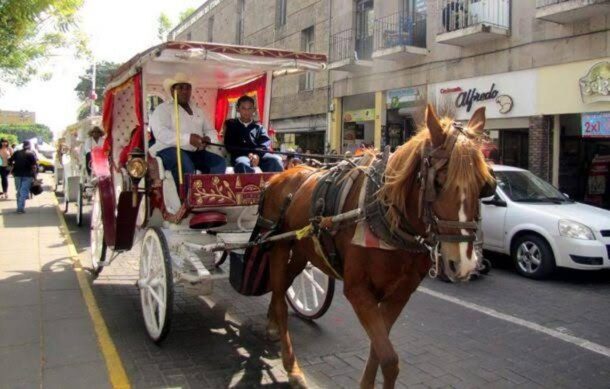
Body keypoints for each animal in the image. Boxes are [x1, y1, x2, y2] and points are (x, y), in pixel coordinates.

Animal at [260, 104, 494, 386]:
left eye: (484, 185)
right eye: (438, 182)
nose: (464, 264)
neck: (385, 218)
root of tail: (280, 176)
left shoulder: (399, 295)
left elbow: (379, 351)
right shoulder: (359, 292)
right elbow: (390, 360)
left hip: (301, 252)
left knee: (281, 288)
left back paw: (271, 324)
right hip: (279, 246)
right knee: (280, 297)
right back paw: (291, 365)